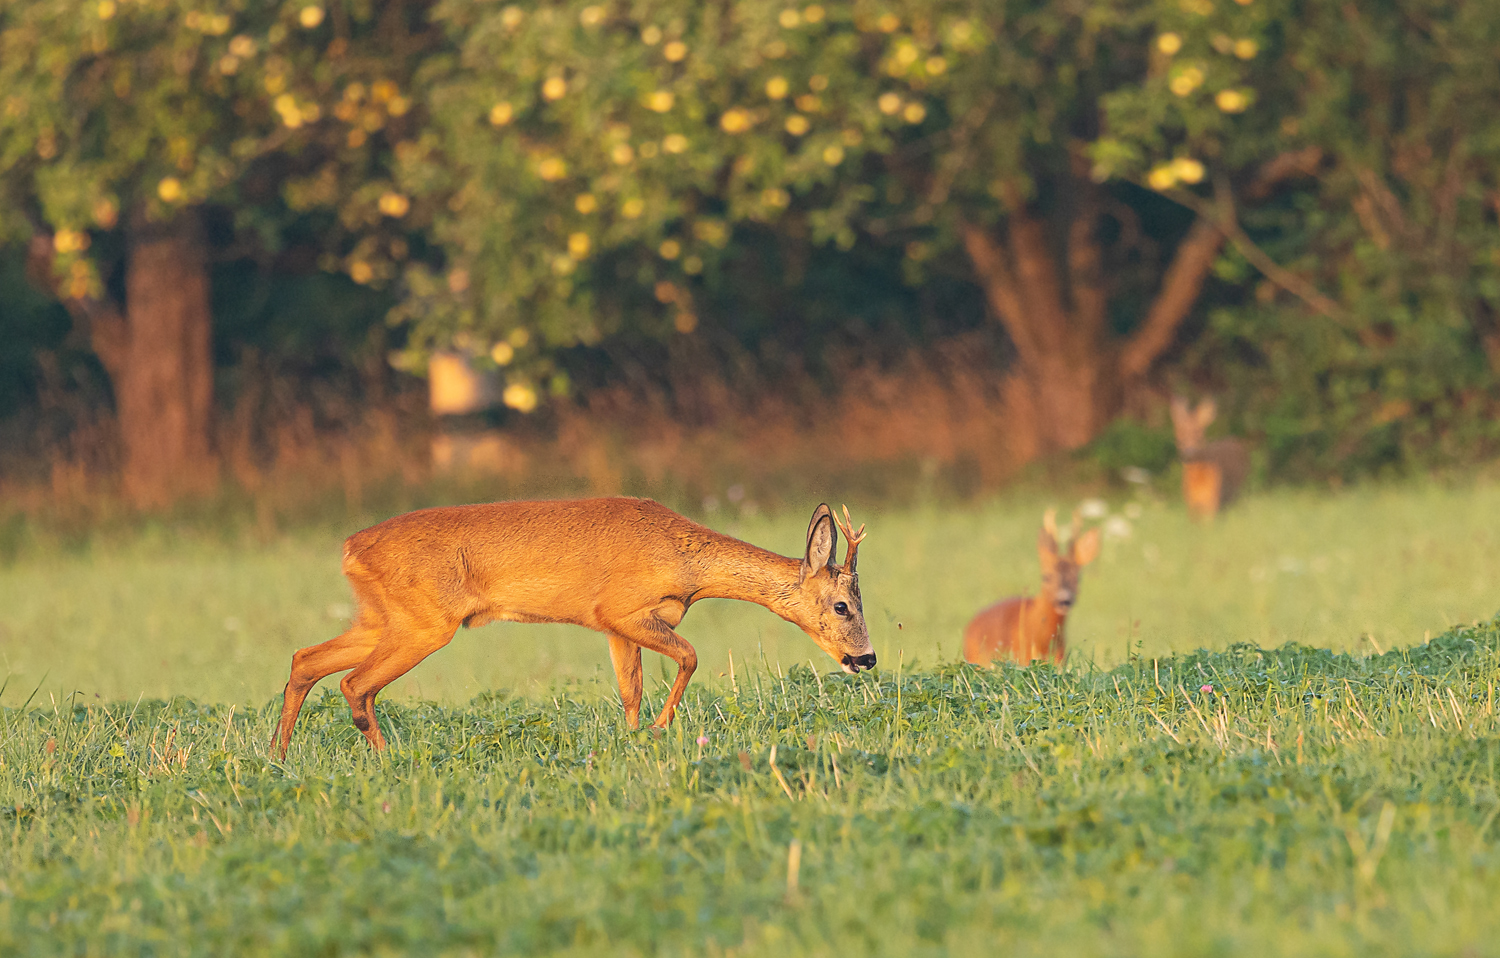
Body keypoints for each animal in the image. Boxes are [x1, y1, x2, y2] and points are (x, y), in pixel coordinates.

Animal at [276, 494, 876, 755]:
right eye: (843, 606)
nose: (866, 658)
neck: (686, 566)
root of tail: (350, 548)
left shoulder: (616, 627)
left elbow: (630, 690)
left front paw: (634, 739)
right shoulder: (619, 609)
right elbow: (689, 656)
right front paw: (659, 729)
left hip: (382, 618)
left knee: (306, 659)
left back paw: (279, 756)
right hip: (424, 622)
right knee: (355, 684)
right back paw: (386, 759)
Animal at [1170, 392, 1254, 521]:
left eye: (1199, 434)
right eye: (1179, 435)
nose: (1189, 453)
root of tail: (1236, 441)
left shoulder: (1213, 500)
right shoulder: (1190, 503)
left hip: (1239, 486)